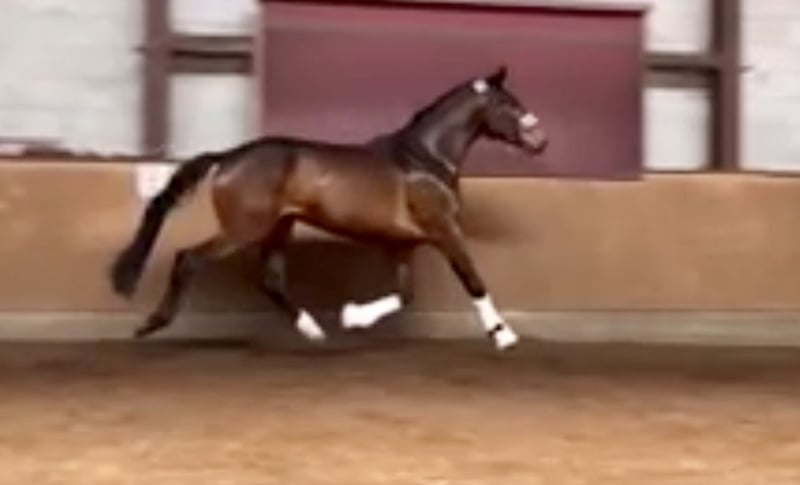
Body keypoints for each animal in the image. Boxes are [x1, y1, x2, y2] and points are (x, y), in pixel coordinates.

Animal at [109, 66, 548, 351]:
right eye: (510, 104)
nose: (540, 141)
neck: (424, 160)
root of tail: (230, 156)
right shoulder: (444, 230)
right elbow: (473, 280)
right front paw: (504, 336)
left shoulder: (402, 245)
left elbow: (403, 296)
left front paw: (352, 317)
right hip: (243, 229)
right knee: (188, 259)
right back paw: (152, 325)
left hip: (278, 228)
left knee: (270, 281)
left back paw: (314, 330)